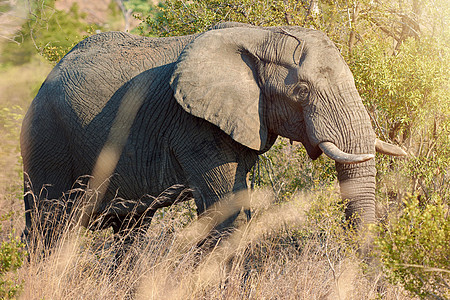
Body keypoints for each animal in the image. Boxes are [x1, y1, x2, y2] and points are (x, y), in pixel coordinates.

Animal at [19, 22, 404, 247]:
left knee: (132, 231)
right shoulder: (192, 125)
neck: (260, 35)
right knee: (48, 227)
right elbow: (228, 213)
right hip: (45, 140)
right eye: (302, 91)